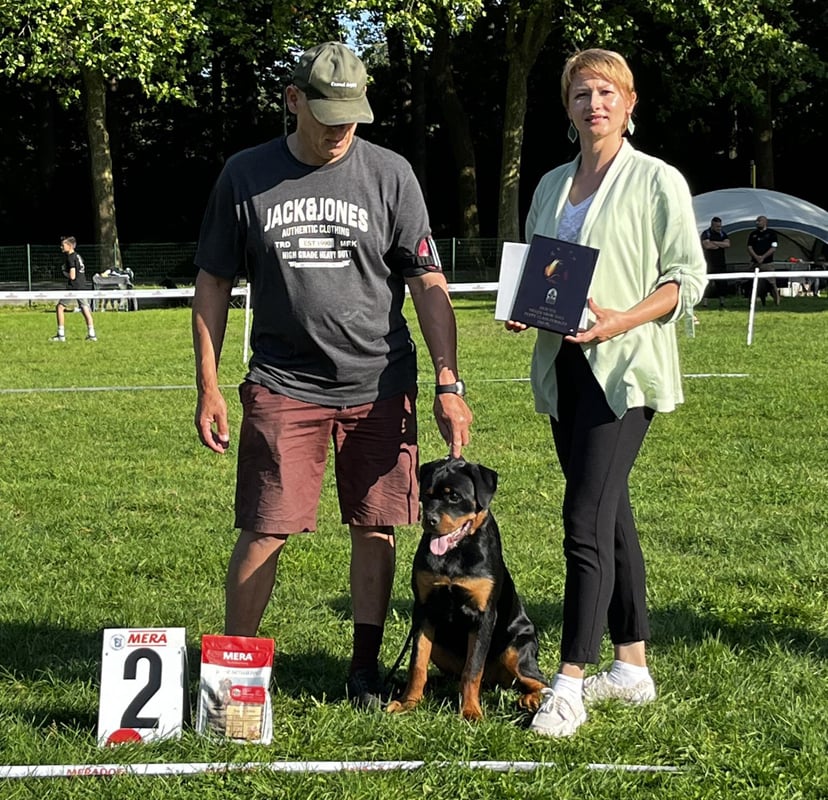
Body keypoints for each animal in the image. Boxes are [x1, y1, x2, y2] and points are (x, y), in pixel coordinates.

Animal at [387, 457, 549, 720]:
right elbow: (417, 663)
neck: (455, 554)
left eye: (454, 496)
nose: (429, 520)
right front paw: (408, 702)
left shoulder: (483, 615)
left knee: (538, 680)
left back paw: (531, 699)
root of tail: (494, 681)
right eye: (426, 495)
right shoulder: (423, 611)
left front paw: (471, 711)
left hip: (516, 647)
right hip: (440, 644)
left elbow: (472, 669)